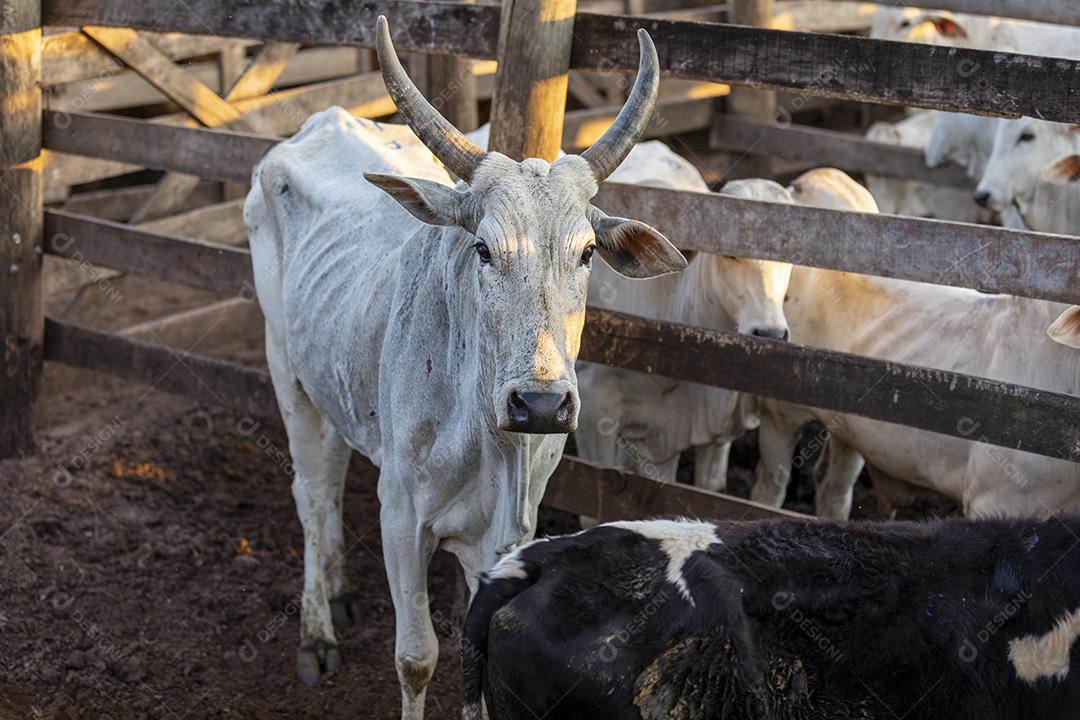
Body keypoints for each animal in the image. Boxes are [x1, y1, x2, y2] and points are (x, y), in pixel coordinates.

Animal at [245, 18, 685, 718]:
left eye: (588, 251)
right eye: (482, 248)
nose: (541, 404)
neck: (489, 441)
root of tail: (323, 120)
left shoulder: (506, 537)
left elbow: (475, 652)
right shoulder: (400, 518)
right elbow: (416, 657)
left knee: (333, 473)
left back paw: (339, 592)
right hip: (286, 369)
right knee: (311, 495)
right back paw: (315, 635)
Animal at [750, 168, 1080, 520]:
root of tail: (807, 182)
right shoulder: (994, 502)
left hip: (848, 429)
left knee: (832, 488)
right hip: (779, 413)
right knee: (769, 487)